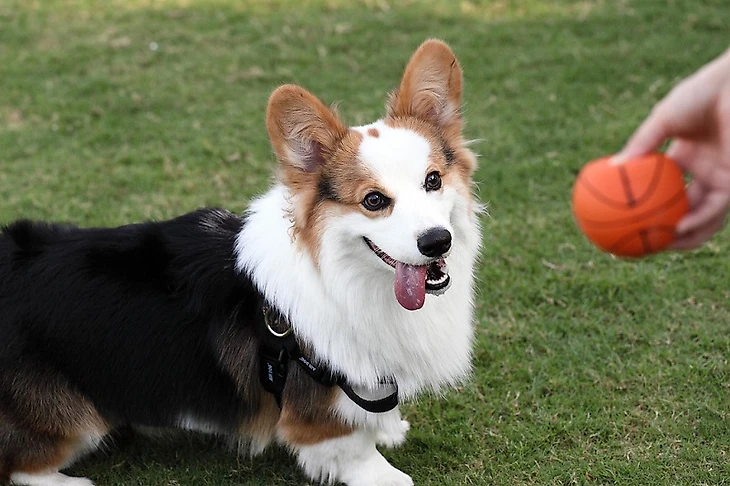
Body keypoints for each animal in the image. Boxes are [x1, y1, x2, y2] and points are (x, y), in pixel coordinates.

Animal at [0, 39, 480, 486]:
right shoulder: (317, 407)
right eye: (374, 201)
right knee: (23, 466)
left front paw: (389, 428)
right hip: (71, 418)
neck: (344, 276)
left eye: (433, 180)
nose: (437, 242)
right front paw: (385, 473)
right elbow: (351, 448)